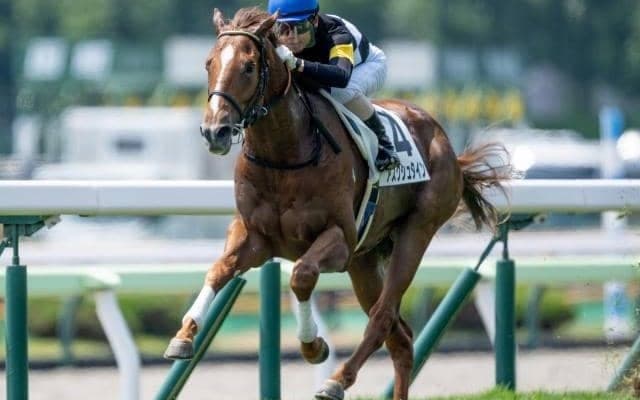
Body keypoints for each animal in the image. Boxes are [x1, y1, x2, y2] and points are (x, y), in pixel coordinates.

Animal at [164, 7, 510, 400]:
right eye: (209, 63)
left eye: (249, 67)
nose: (215, 131)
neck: (284, 156)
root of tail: (446, 142)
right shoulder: (256, 236)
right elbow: (219, 269)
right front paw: (183, 336)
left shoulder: (340, 239)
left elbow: (302, 276)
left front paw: (313, 345)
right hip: (365, 261)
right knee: (401, 339)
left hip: (416, 232)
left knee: (382, 318)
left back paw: (337, 379)